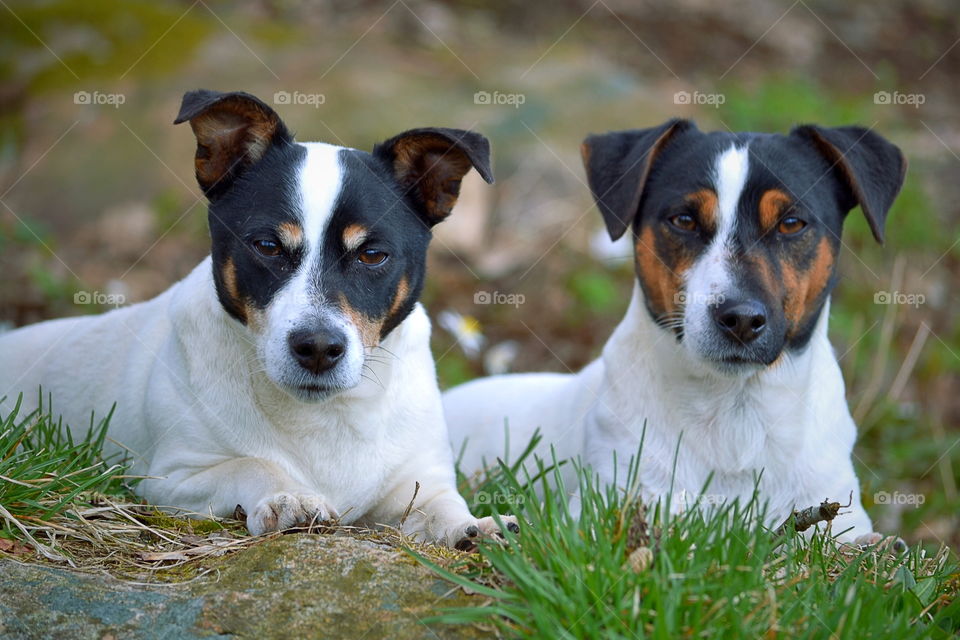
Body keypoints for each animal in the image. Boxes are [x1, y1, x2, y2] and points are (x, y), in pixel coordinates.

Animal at [0, 89, 516, 552]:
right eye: (267, 246)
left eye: (372, 255)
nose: (318, 348)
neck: (324, 416)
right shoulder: (170, 478)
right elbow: (252, 464)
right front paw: (289, 496)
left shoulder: (418, 479)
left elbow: (440, 504)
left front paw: (475, 525)